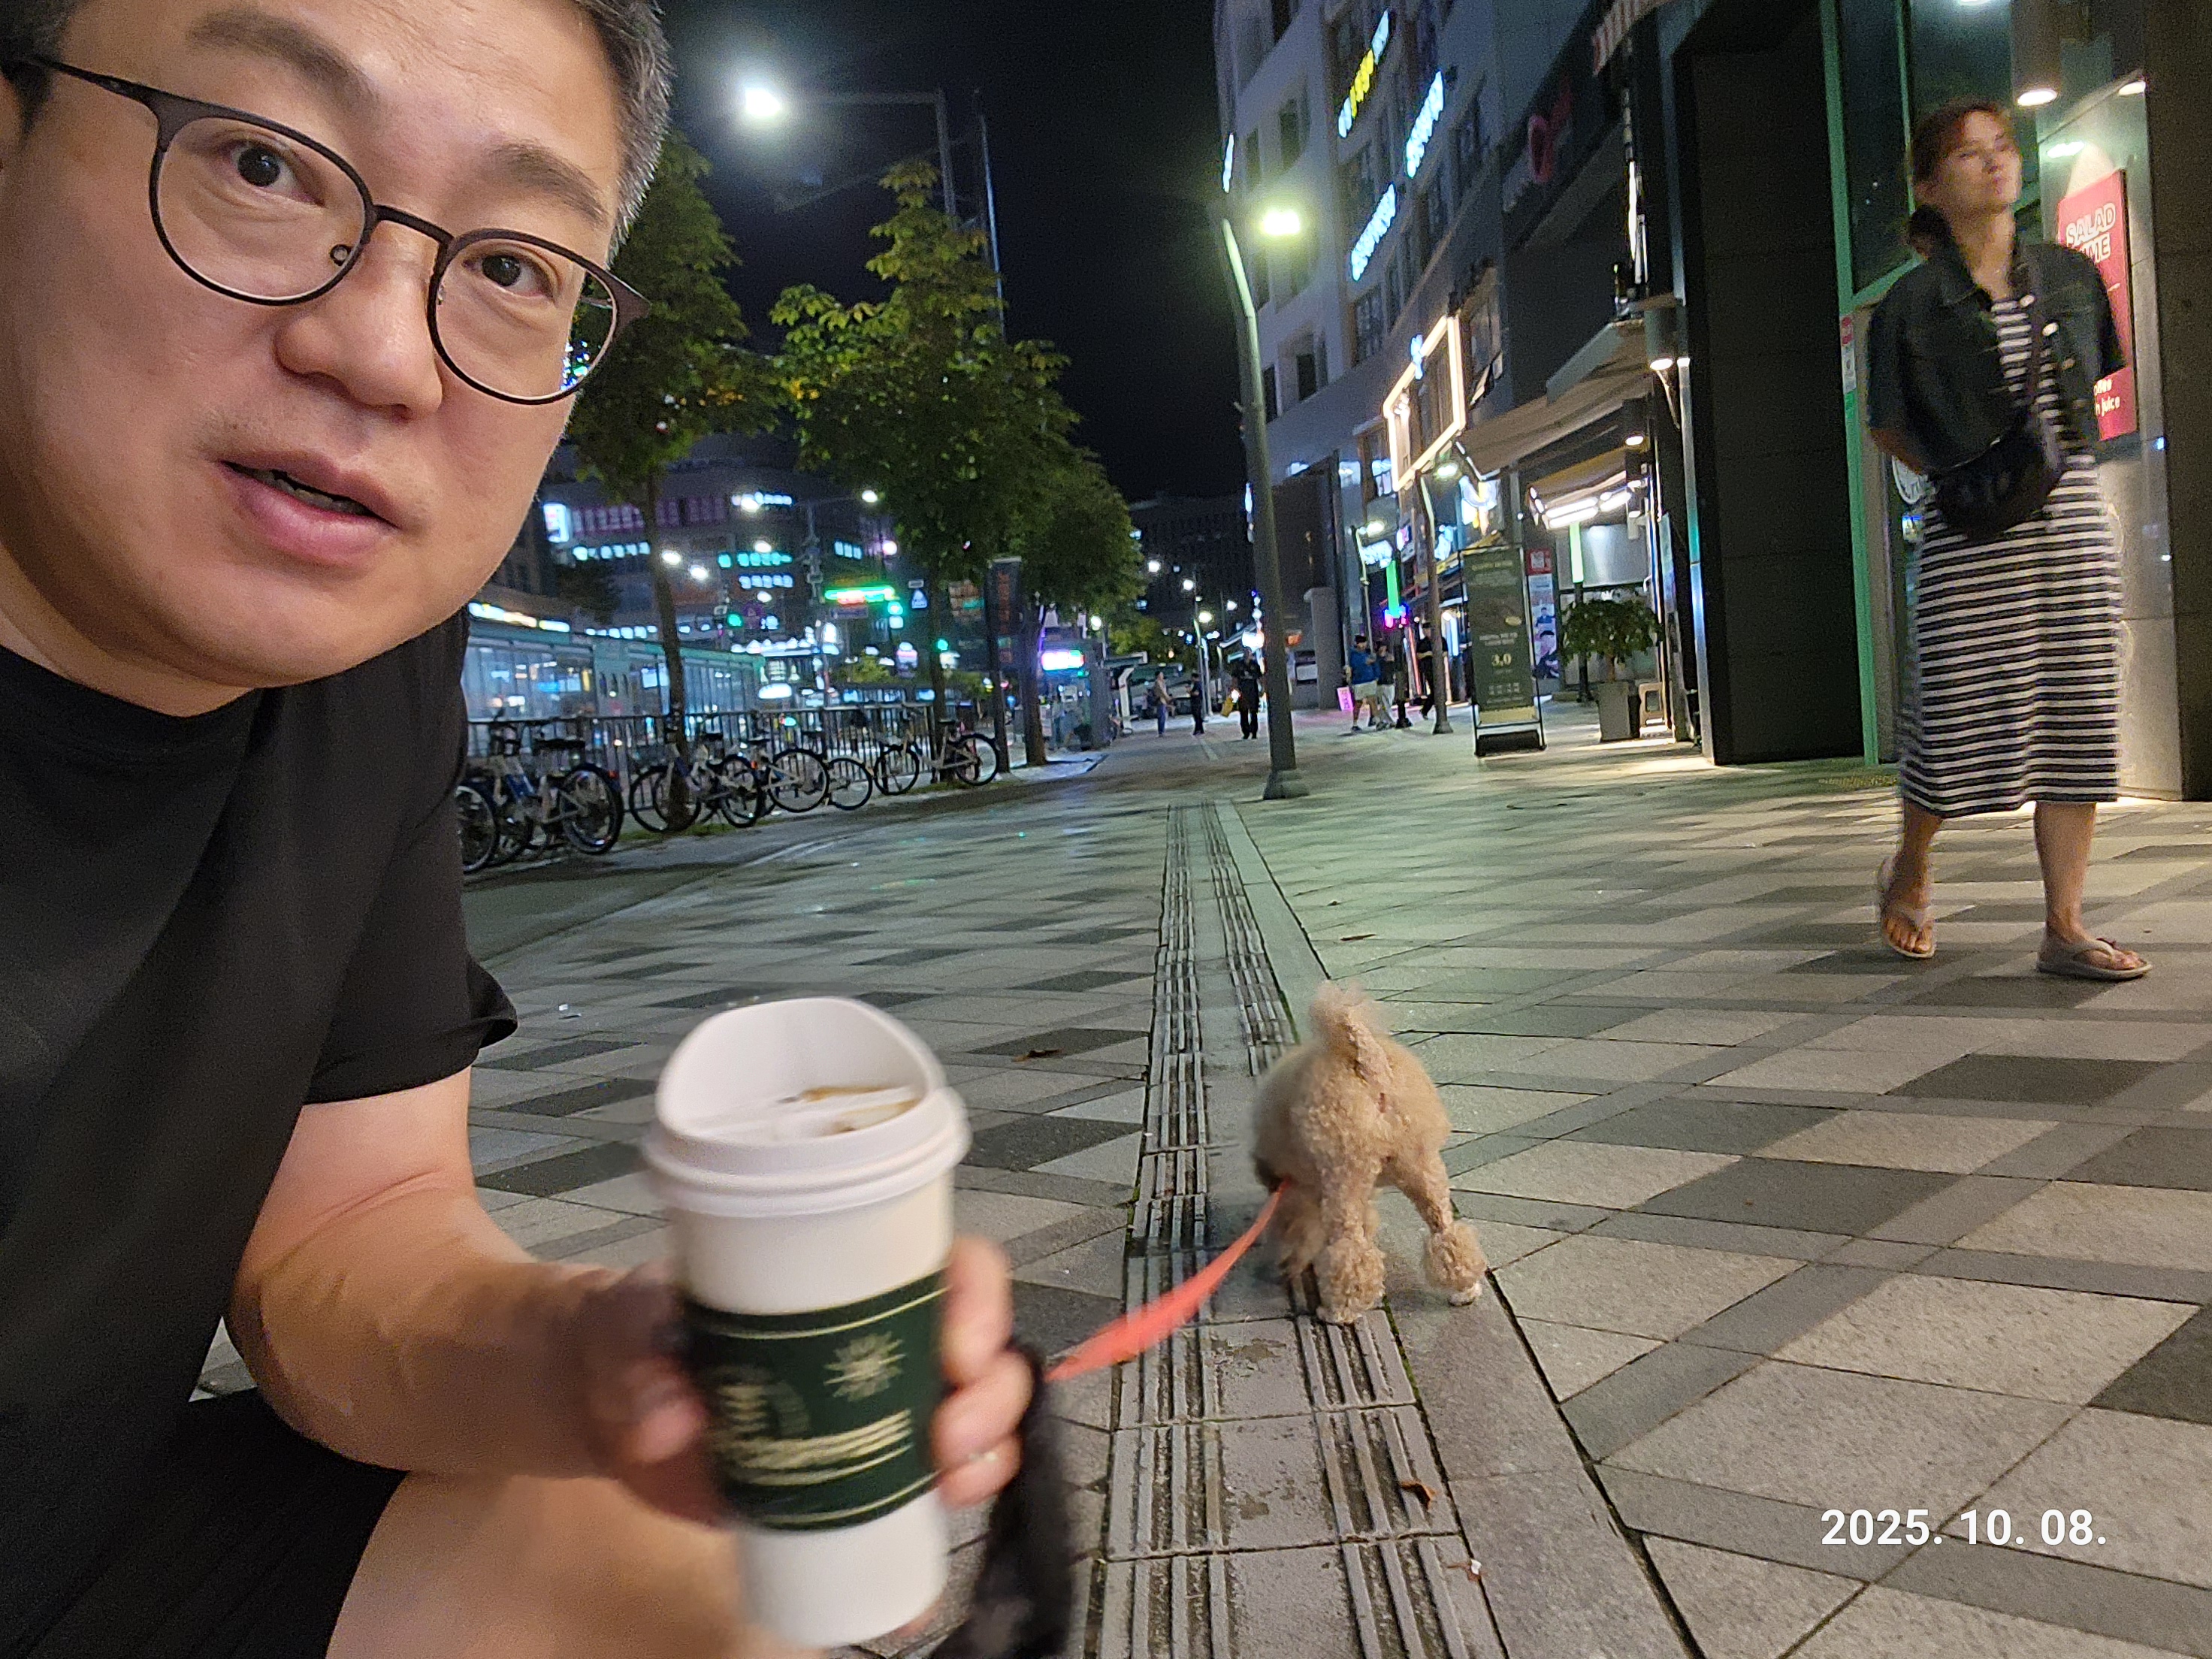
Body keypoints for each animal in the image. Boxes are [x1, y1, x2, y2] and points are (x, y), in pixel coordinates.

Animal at [1253, 983, 1486, 1324]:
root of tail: (1369, 1064)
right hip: (1422, 1168)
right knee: (1446, 1230)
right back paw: (1464, 1289)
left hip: (1344, 1174)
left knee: (1351, 1252)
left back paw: (1338, 1311)